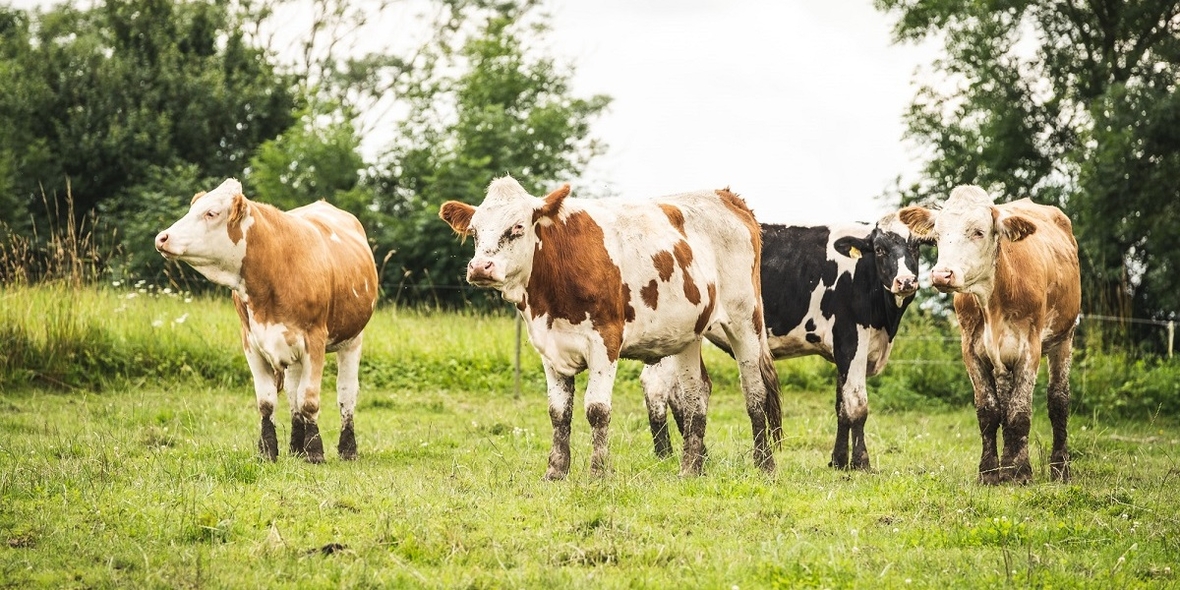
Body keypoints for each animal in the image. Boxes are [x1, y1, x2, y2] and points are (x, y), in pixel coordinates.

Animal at [154, 176, 377, 462]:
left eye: (211, 213)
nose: (162, 237)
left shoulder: (314, 340)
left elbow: (310, 400)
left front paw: (315, 451)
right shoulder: (251, 343)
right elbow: (268, 402)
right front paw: (268, 451)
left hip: (352, 340)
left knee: (346, 394)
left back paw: (347, 449)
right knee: (293, 395)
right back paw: (296, 447)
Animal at [438, 175, 778, 479]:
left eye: (517, 228)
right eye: (474, 231)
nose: (480, 267)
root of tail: (726, 195)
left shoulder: (605, 340)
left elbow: (597, 409)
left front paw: (598, 472)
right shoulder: (549, 347)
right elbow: (558, 413)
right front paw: (555, 472)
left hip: (745, 321)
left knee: (755, 391)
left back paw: (765, 466)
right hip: (689, 333)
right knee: (696, 395)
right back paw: (690, 470)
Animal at [641, 212, 925, 469]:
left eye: (915, 246)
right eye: (879, 249)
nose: (906, 281)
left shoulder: (844, 350)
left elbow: (841, 405)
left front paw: (838, 461)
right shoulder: (851, 337)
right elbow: (857, 405)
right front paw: (861, 463)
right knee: (656, 386)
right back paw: (665, 454)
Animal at [896, 185, 1080, 483]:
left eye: (979, 232)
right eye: (937, 236)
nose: (941, 275)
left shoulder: (1030, 348)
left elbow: (1019, 412)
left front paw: (1019, 472)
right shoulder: (971, 351)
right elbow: (990, 411)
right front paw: (991, 471)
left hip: (1064, 337)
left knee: (1058, 401)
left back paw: (1060, 468)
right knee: (1005, 399)